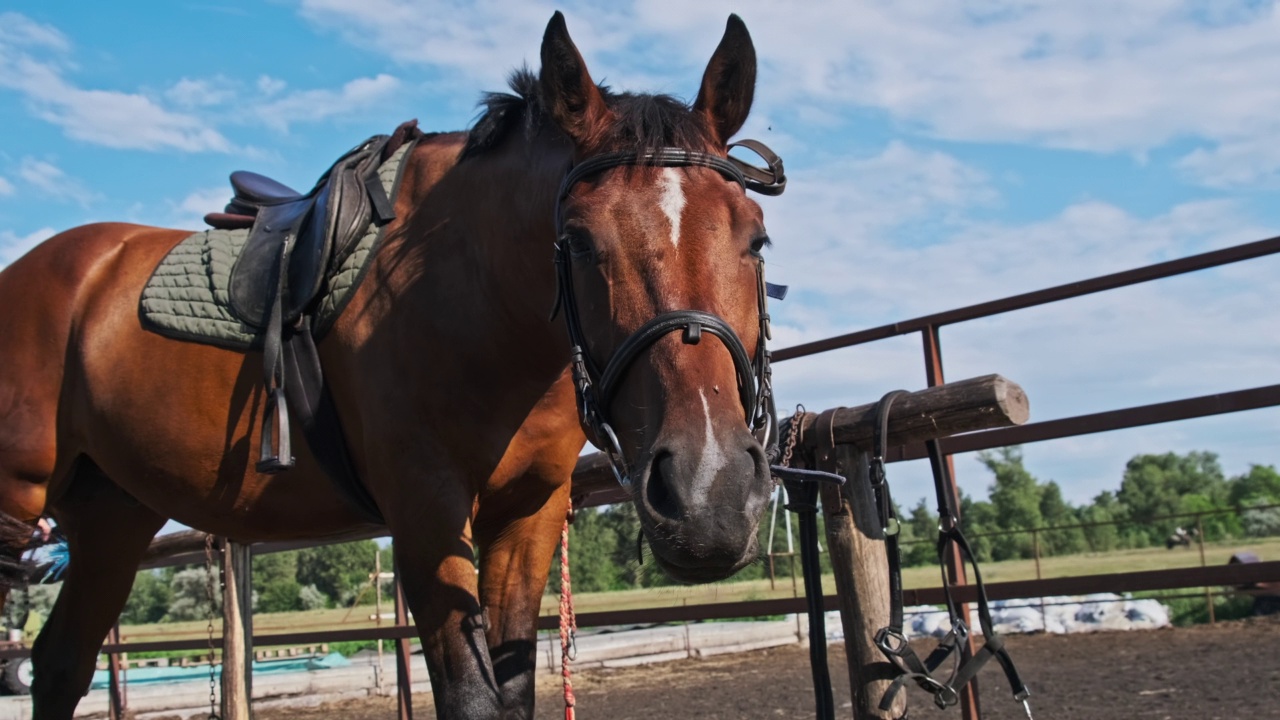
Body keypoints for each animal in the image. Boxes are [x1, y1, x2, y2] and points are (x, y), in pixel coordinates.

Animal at [0, 11, 778, 717]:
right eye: (580, 241)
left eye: (756, 240)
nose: (709, 494)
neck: (479, 300)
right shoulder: (425, 508)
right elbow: (471, 698)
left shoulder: (527, 513)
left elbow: (513, 691)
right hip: (18, 503)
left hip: (111, 519)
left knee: (60, 664)